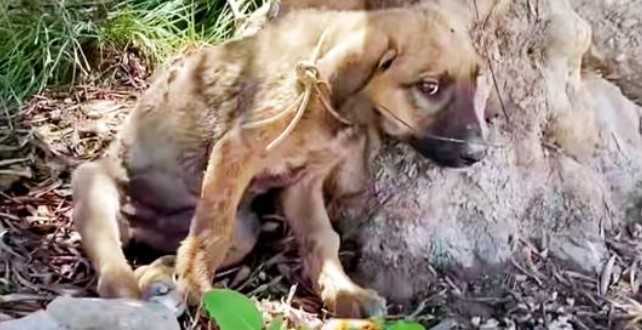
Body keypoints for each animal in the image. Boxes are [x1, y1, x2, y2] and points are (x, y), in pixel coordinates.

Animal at [71, 3, 484, 318]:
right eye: (429, 87)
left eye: (476, 79)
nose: (478, 153)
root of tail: (138, 224)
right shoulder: (236, 151)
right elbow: (212, 229)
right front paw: (196, 285)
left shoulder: (305, 182)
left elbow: (322, 238)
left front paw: (344, 292)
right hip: (93, 183)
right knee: (113, 271)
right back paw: (139, 288)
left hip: (243, 224)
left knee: (217, 239)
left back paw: (160, 269)